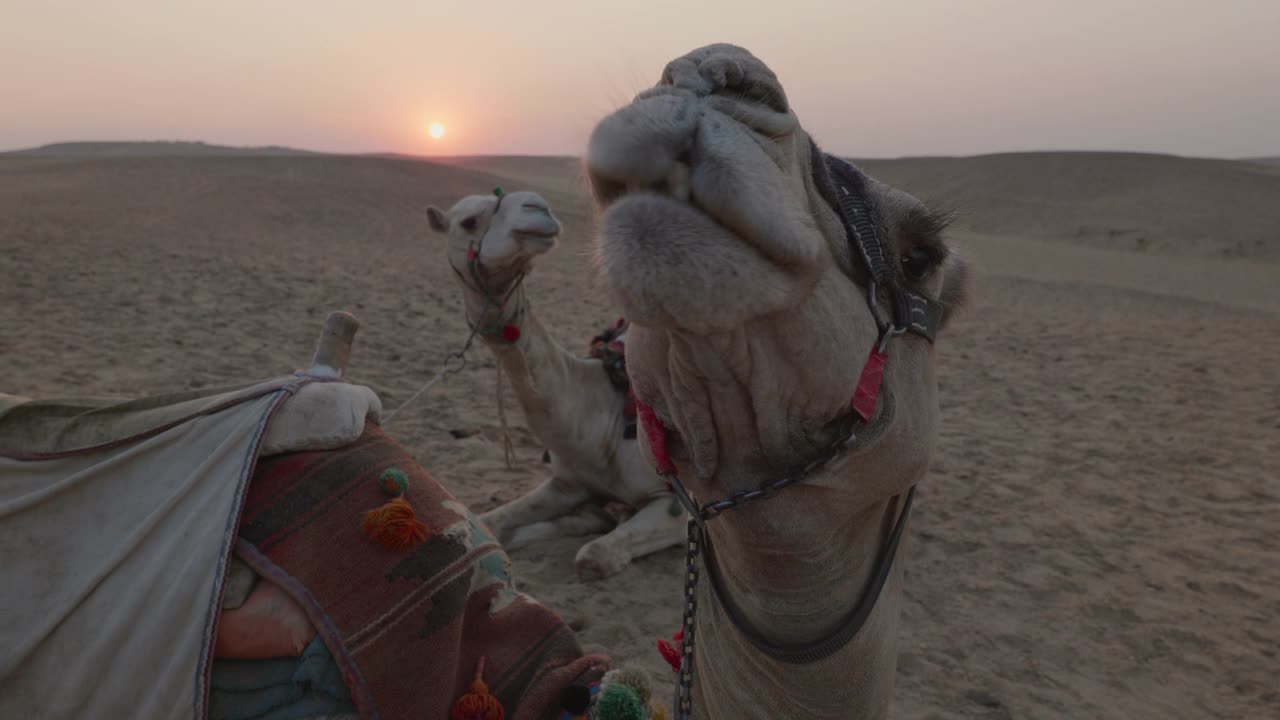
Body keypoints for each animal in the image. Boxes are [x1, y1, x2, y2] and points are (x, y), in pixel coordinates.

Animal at [427, 189, 691, 576]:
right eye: (469, 221)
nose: (537, 206)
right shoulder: (567, 482)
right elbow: (492, 521)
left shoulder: (677, 503)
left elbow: (595, 556)